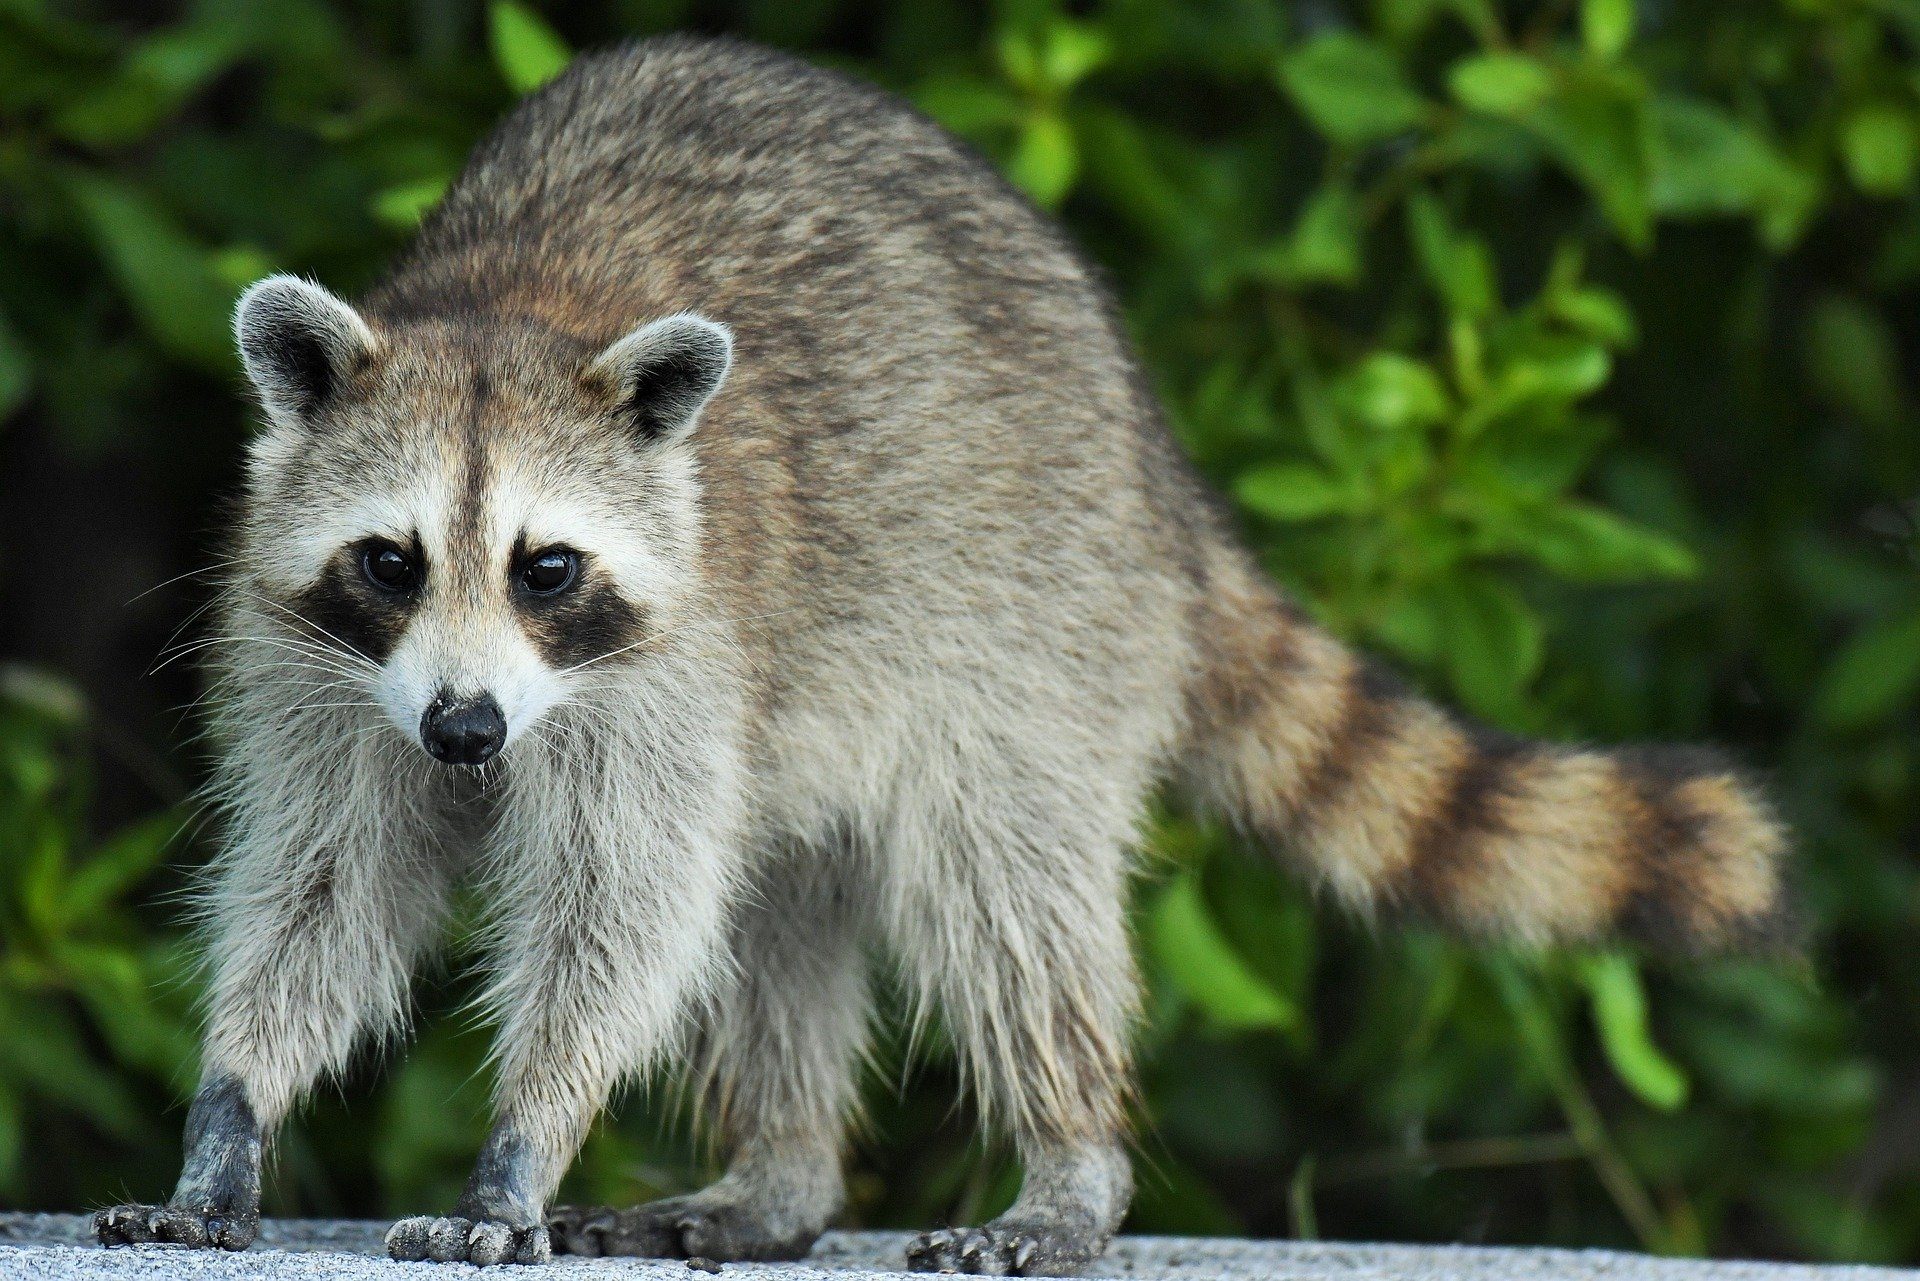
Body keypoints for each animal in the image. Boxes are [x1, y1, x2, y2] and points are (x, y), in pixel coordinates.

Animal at [90, 35, 1781, 1275]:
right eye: (392, 561)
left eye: (546, 567)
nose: (462, 736)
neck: (508, 304)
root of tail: (1151, 460)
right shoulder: (311, 663)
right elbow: (326, 881)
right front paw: (233, 1109)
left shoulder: (672, 668)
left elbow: (619, 913)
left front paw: (522, 1142)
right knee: (778, 912)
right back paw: (778, 1176)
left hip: (1033, 619)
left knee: (1002, 890)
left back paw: (1069, 1156)